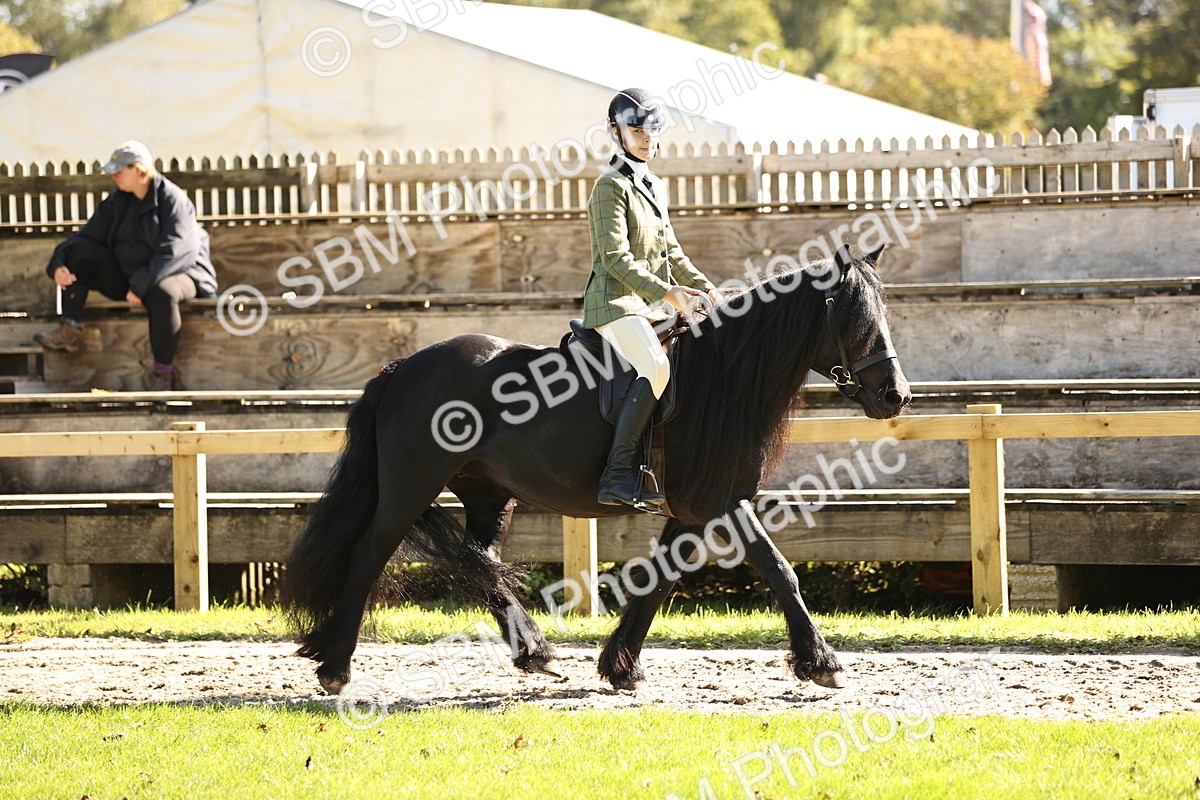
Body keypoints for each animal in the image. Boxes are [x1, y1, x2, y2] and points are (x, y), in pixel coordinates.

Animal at [281, 243, 912, 695]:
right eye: (854, 319)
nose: (896, 396)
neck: (724, 377)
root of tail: (403, 368)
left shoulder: (690, 510)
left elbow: (659, 579)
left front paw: (620, 667)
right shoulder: (721, 504)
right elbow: (780, 570)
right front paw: (821, 662)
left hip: (488, 494)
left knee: (478, 561)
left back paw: (533, 653)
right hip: (409, 487)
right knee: (370, 553)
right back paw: (336, 668)